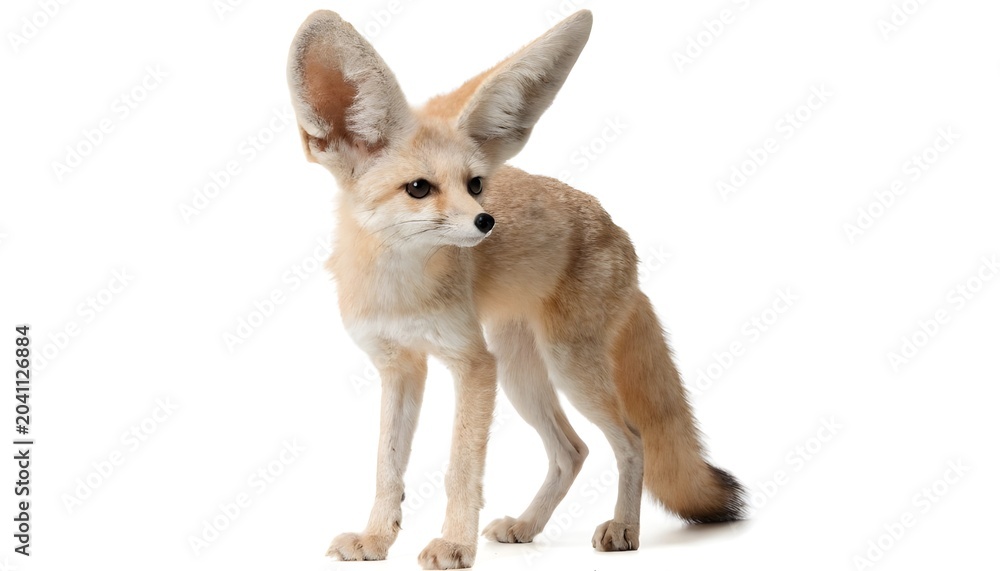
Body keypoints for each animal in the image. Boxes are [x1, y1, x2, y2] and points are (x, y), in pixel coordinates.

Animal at [287, 8, 745, 570]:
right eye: (419, 188)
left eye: (476, 184)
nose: (486, 222)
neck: (400, 293)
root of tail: (616, 229)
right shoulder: (399, 367)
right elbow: (387, 467)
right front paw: (376, 539)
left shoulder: (472, 363)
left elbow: (460, 469)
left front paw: (453, 545)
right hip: (521, 375)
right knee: (572, 451)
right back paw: (528, 527)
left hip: (564, 367)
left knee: (631, 440)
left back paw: (624, 529)